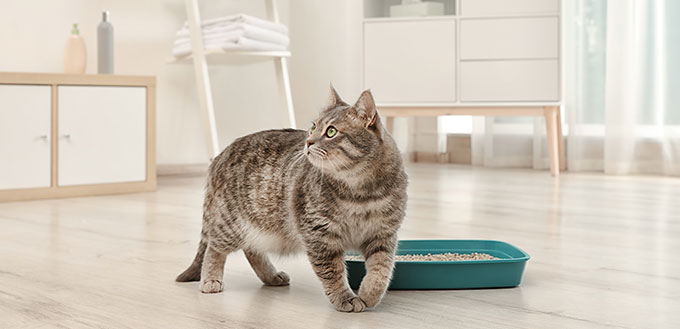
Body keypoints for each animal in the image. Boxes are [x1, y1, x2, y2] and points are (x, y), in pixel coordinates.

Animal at [177, 86, 410, 312]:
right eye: (314, 127)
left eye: (331, 131)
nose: (308, 141)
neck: (361, 192)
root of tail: (221, 155)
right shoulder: (320, 236)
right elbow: (332, 273)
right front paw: (344, 298)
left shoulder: (382, 235)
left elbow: (381, 270)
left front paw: (370, 294)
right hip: (232, 224)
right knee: (214, 247)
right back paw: (211, 279)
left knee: (252, 251)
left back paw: (271, 276)